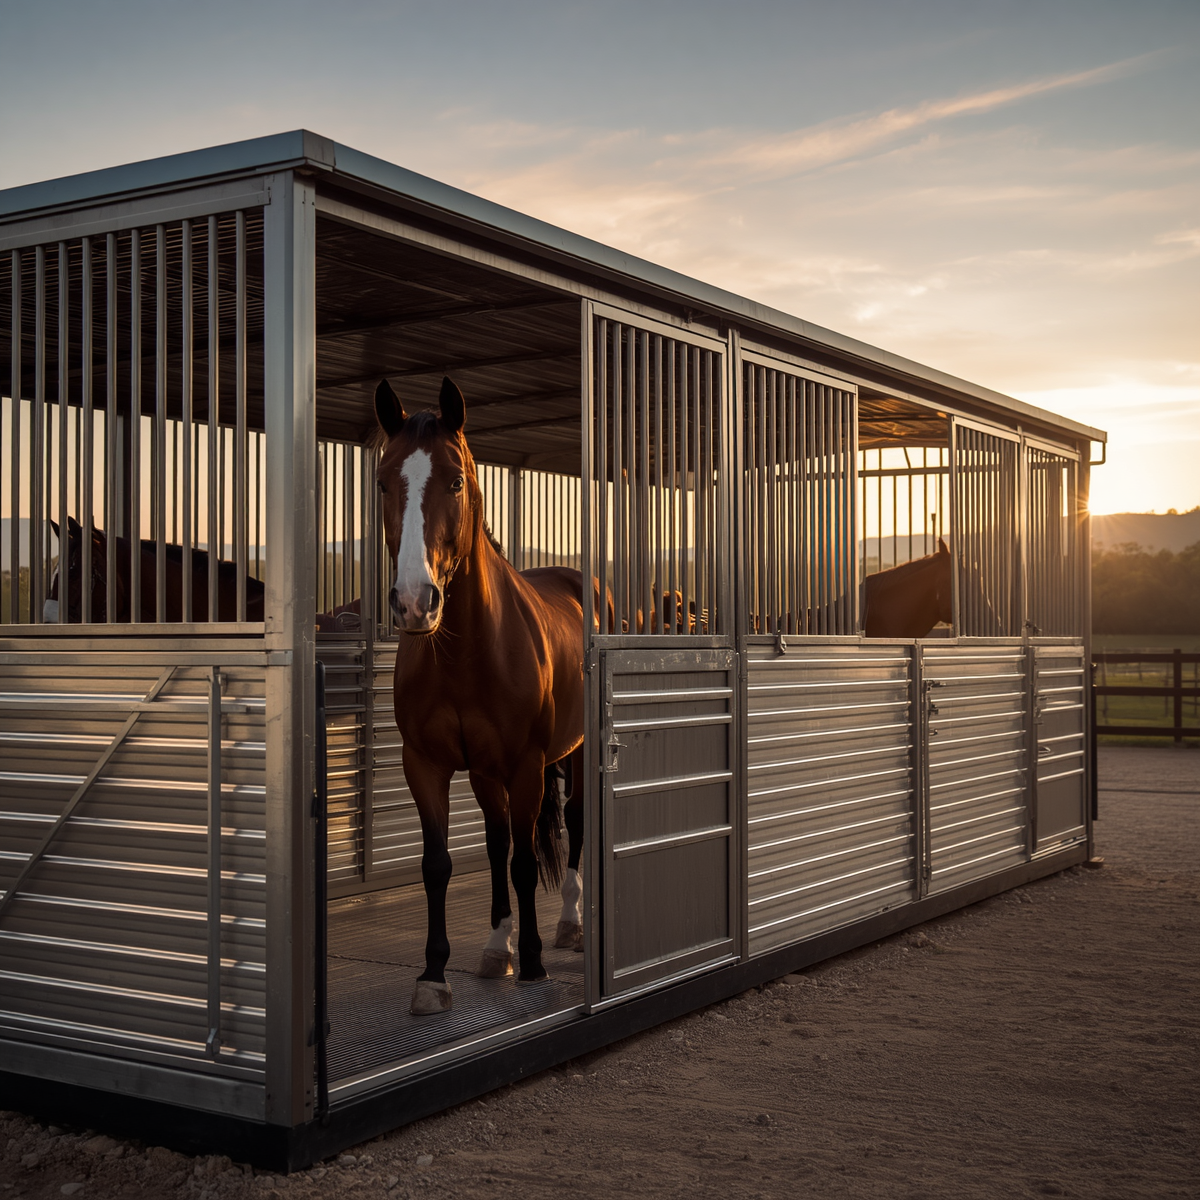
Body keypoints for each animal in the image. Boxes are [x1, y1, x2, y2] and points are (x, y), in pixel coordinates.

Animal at [374, 375, 587, 1014]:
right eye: (382, 480)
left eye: (456, 480)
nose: (414, 603)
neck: (465, 655)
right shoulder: (427, 764)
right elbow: (439, 864)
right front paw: (434, 975)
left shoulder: (526, 765)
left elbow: (524, 862)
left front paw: (535, 962)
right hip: (489, 774)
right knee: (496, 843)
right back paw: (498, 947)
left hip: (572, 754)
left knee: (573, 823)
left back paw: (570, 925)